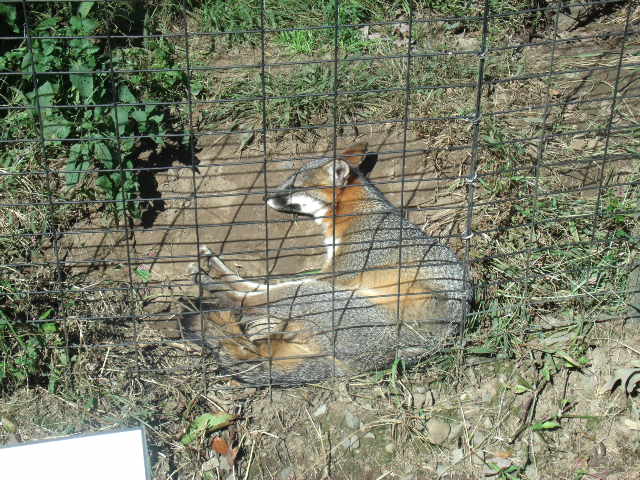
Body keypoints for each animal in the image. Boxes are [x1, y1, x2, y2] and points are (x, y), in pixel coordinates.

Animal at [186, 142, 471, 386]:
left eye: (293, 186)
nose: (264, 196)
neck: (359, 212)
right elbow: (264, 285)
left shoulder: (339, 272)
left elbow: (268, 288)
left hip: (322, 294)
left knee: (254, 299)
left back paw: (214, 287)